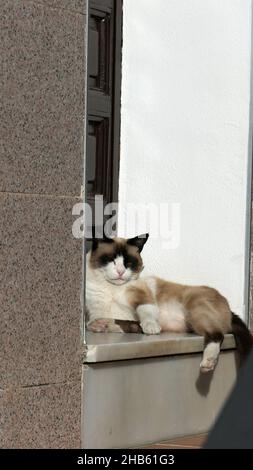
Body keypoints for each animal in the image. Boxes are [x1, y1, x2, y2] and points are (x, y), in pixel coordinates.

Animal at [85, 233, 253, 372]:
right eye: (111, 260)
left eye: (128, 263)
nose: (120, 272)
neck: (111, 290)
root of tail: (230, 308)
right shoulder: (98, 312)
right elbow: (128, 323)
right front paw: (100, 324)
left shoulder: (142, 296)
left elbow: (145, 311)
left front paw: (151, 327)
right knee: (131, 326)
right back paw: (101, 325)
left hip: (196, 308)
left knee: (216, 334)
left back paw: (208, 362)